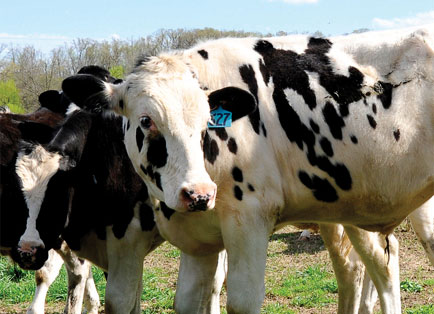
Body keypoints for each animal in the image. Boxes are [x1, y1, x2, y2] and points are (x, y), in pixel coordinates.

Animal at [62, 26, 434, 314]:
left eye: (207, 121)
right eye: (145, 120)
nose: (198, 193)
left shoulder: (249, 219)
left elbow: (241, 302)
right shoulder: (197, 240)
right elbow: (187, 303)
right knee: (372, 269)